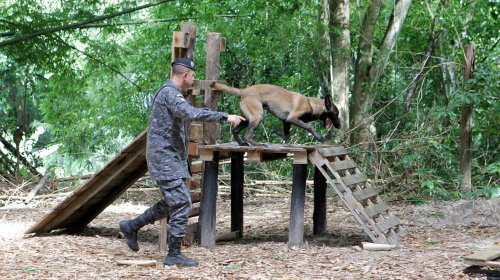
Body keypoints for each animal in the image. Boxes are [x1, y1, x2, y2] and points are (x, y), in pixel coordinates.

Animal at [209, 81, 342, 145]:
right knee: (248, 135)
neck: (311, 104)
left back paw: (242, 144)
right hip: (257, 117)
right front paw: (319, 137)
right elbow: (309, 127)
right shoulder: (292, 118)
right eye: (336, 114)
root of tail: (244, 91)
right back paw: (258, 145)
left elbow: (287, 135)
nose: (339, 126)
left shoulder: (286, 121)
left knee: (235, 130)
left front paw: (277, 133)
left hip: (248, 118)